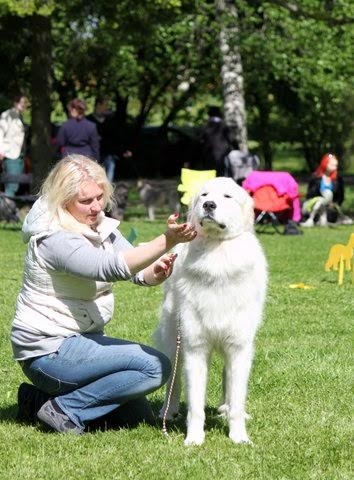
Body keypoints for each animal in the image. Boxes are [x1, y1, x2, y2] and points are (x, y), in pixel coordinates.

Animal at [153, 177, 266, 446]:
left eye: (227, 196)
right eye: (204, 195)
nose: (209, 205)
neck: (217, 251)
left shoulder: (238, 346)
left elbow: (236, 397)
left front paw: (239, 437)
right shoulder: (195, 347)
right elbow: (195, 404)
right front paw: (194, 439)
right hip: (174, 339)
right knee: (173, 382)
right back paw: (168, 412)